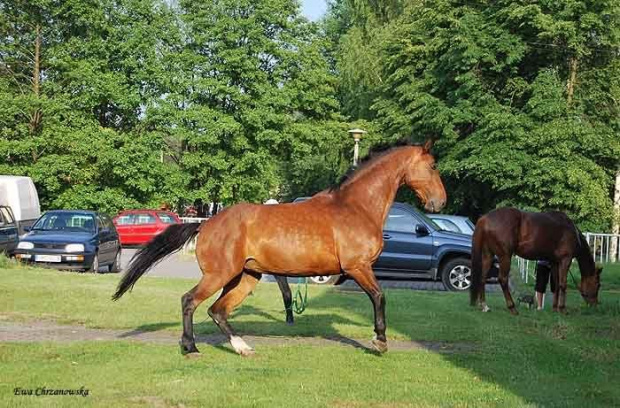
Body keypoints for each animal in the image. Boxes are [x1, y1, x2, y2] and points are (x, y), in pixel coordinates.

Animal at [112, 140, 446, 356]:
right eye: (432, 166)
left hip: (246, 277)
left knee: (217, 311)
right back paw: (191, 347)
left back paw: (242, 347)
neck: (356, 207)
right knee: (190, 301)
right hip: (220, 276)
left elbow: (377, 297)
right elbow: (379, 297)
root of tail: (204, 225)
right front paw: (380, 341)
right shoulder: (358, 267)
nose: (440, 202)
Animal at [470, 209, 600, 314]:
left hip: (488, 255)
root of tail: (485, 219)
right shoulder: (565, 260)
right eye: (598, 284)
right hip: (505, 257)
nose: (594, 305)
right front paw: (562, 309)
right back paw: (512, 308)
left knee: (482, 278)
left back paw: (485, 306)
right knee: (502, 279)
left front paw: (555, 308)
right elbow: (563, 284)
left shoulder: (554, 262)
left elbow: (556, 284)